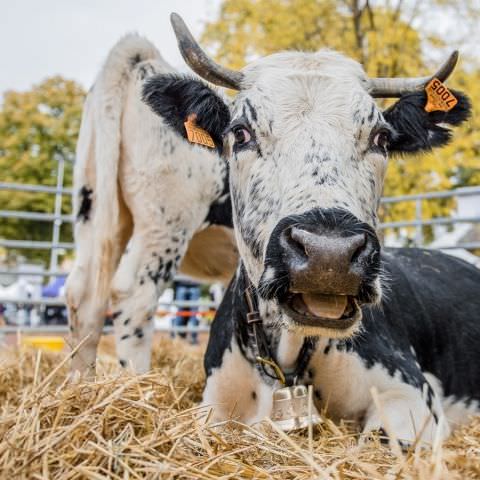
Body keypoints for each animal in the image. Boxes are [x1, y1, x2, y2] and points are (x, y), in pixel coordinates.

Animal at [65, 34, 238, 378]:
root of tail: (142, 60)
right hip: (166, 223)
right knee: (133, 296)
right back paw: (138, 382)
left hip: (93, 208)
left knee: (84, 294)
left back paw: (81, 384)